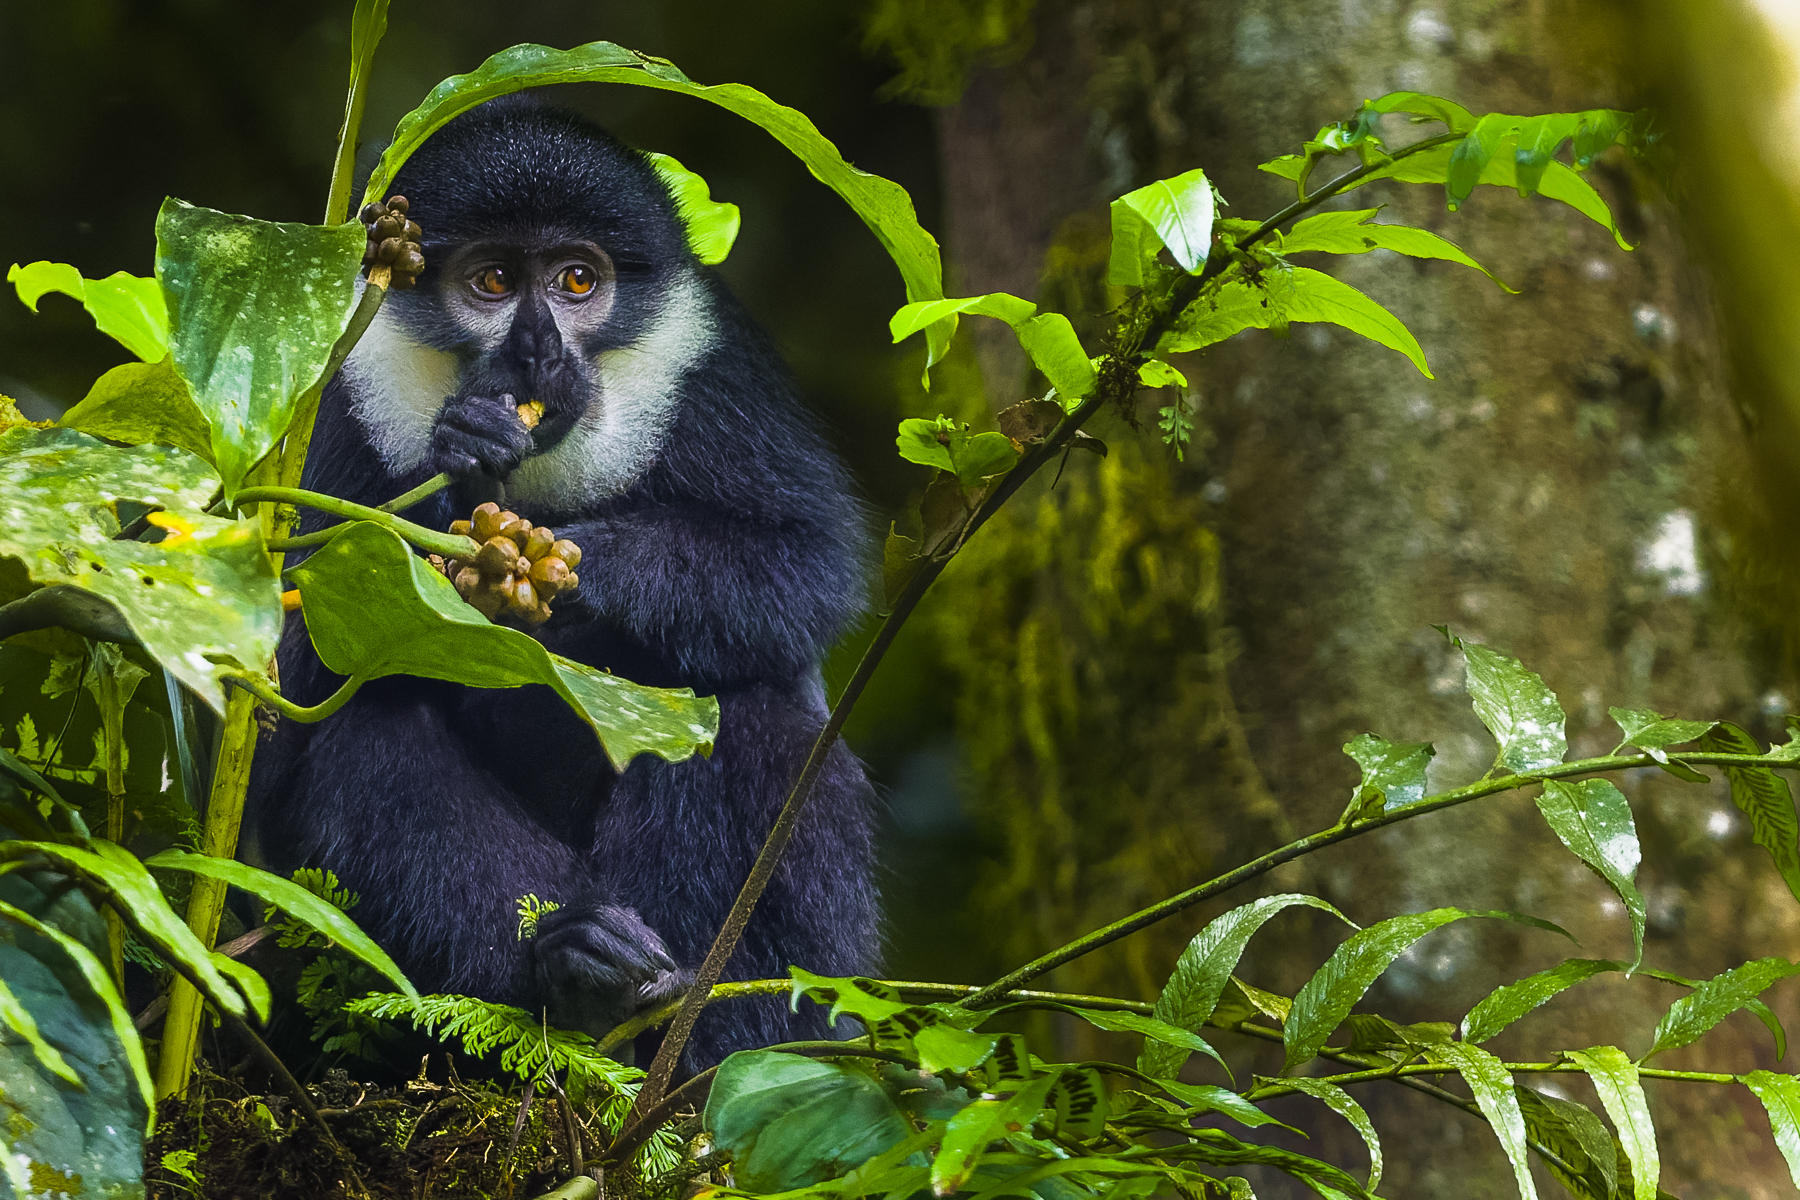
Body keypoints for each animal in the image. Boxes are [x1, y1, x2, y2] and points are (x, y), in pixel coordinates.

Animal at [245, 94, 880, 1071]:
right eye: (495, 280)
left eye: (578, 281)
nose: (539, 349)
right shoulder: (328, 412)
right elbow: (286, 689)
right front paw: (465, 459)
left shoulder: (719, 366)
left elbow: (805, 565)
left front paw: (582, 573)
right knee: (368, 729)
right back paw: (578, 984)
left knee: (740, 712)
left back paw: (678, 1019)